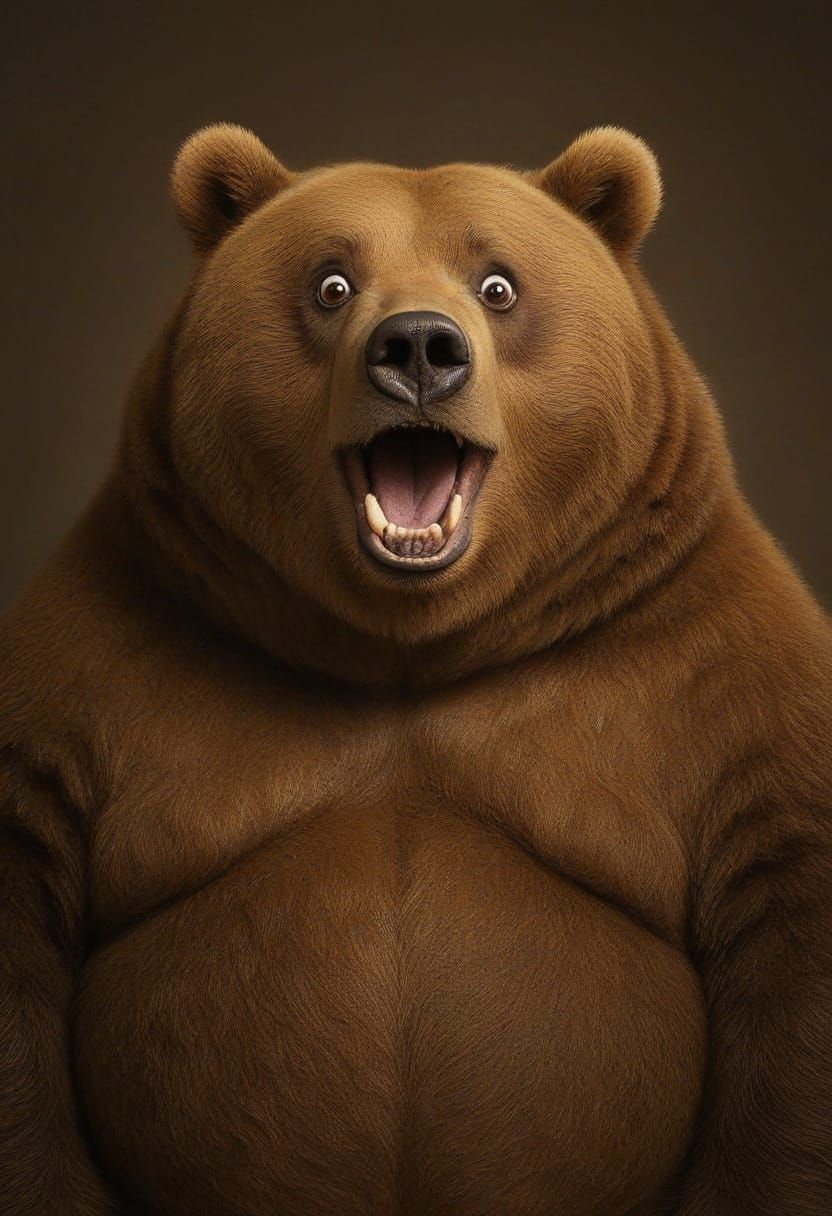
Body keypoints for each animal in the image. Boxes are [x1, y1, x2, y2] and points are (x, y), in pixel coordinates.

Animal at [0, 122, 830, 1216]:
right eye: (331, 283)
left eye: (498, 285)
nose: (420, 349)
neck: (408, 648)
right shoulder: (111, 656)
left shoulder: (707, 673)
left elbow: (790, 933)